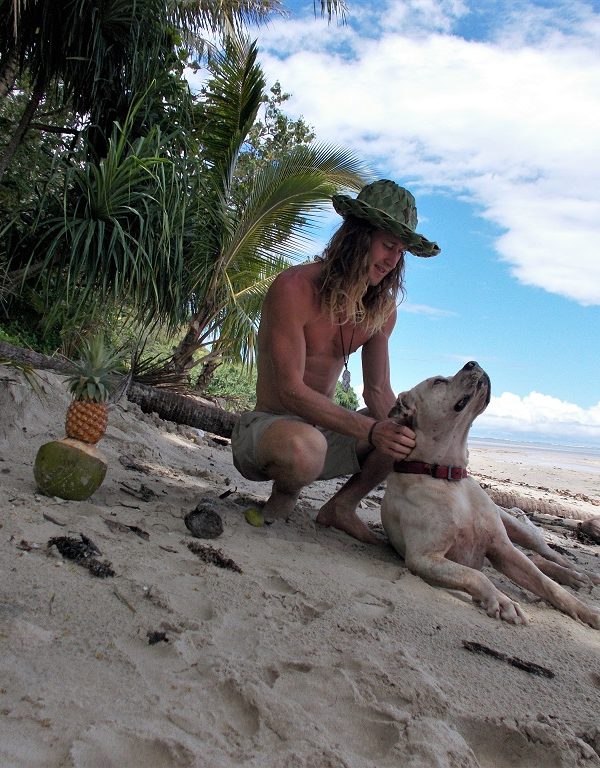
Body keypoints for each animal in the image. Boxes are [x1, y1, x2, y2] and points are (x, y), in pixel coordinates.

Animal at [382, 362, 596, 632]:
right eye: (438, 382)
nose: (472, 363)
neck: (448, 475)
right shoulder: (424, 558)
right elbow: (476, 574)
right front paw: (502, 601)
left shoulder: (503, 549)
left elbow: (549, 585)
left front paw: (589, 612)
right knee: (534, 559)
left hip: (518, 527)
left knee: (548, 554)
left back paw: (580, 576)